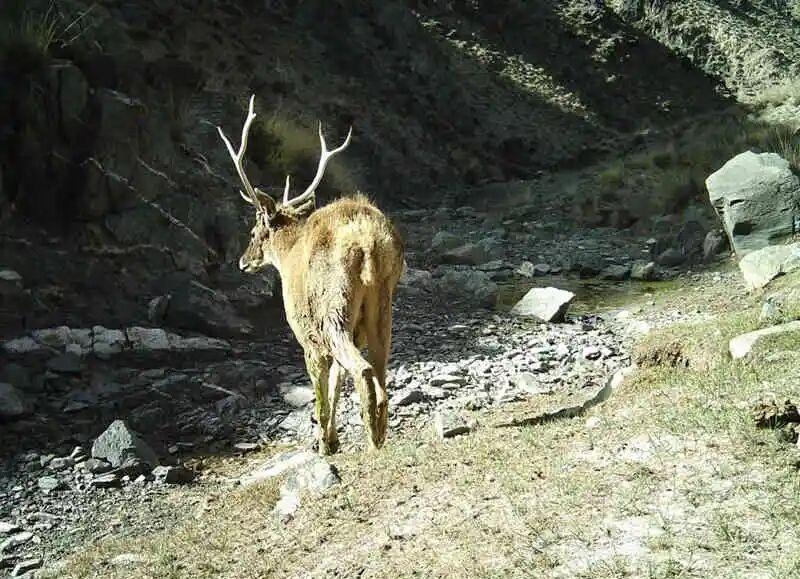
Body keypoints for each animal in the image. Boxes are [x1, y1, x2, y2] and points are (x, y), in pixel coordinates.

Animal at [217, 96, 405, 455]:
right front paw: (332, 439)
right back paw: (379, 435)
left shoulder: (307, 334)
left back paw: (371, 442)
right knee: (380, 373)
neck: (287, 254)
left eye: (253, 233)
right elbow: (336, 381)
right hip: (381, 307)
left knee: (362, 370)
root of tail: (368, 242)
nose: (242, 262)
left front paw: (323, 443)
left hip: (334, 306)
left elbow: (321, 390)